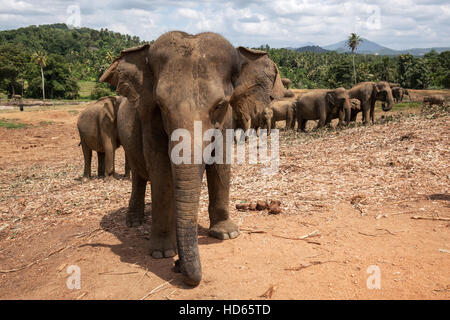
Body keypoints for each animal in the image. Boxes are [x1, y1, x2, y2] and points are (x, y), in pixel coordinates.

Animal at [99, 30, 282, 284]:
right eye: (160, 105)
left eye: (220, 105)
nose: (177, 266)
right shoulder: (150, 120)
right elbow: (161, 170)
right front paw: (162, 253)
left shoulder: (227, 120)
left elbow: (221, 163)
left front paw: (227, 234)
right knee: (139, 176)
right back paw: (134, 222)